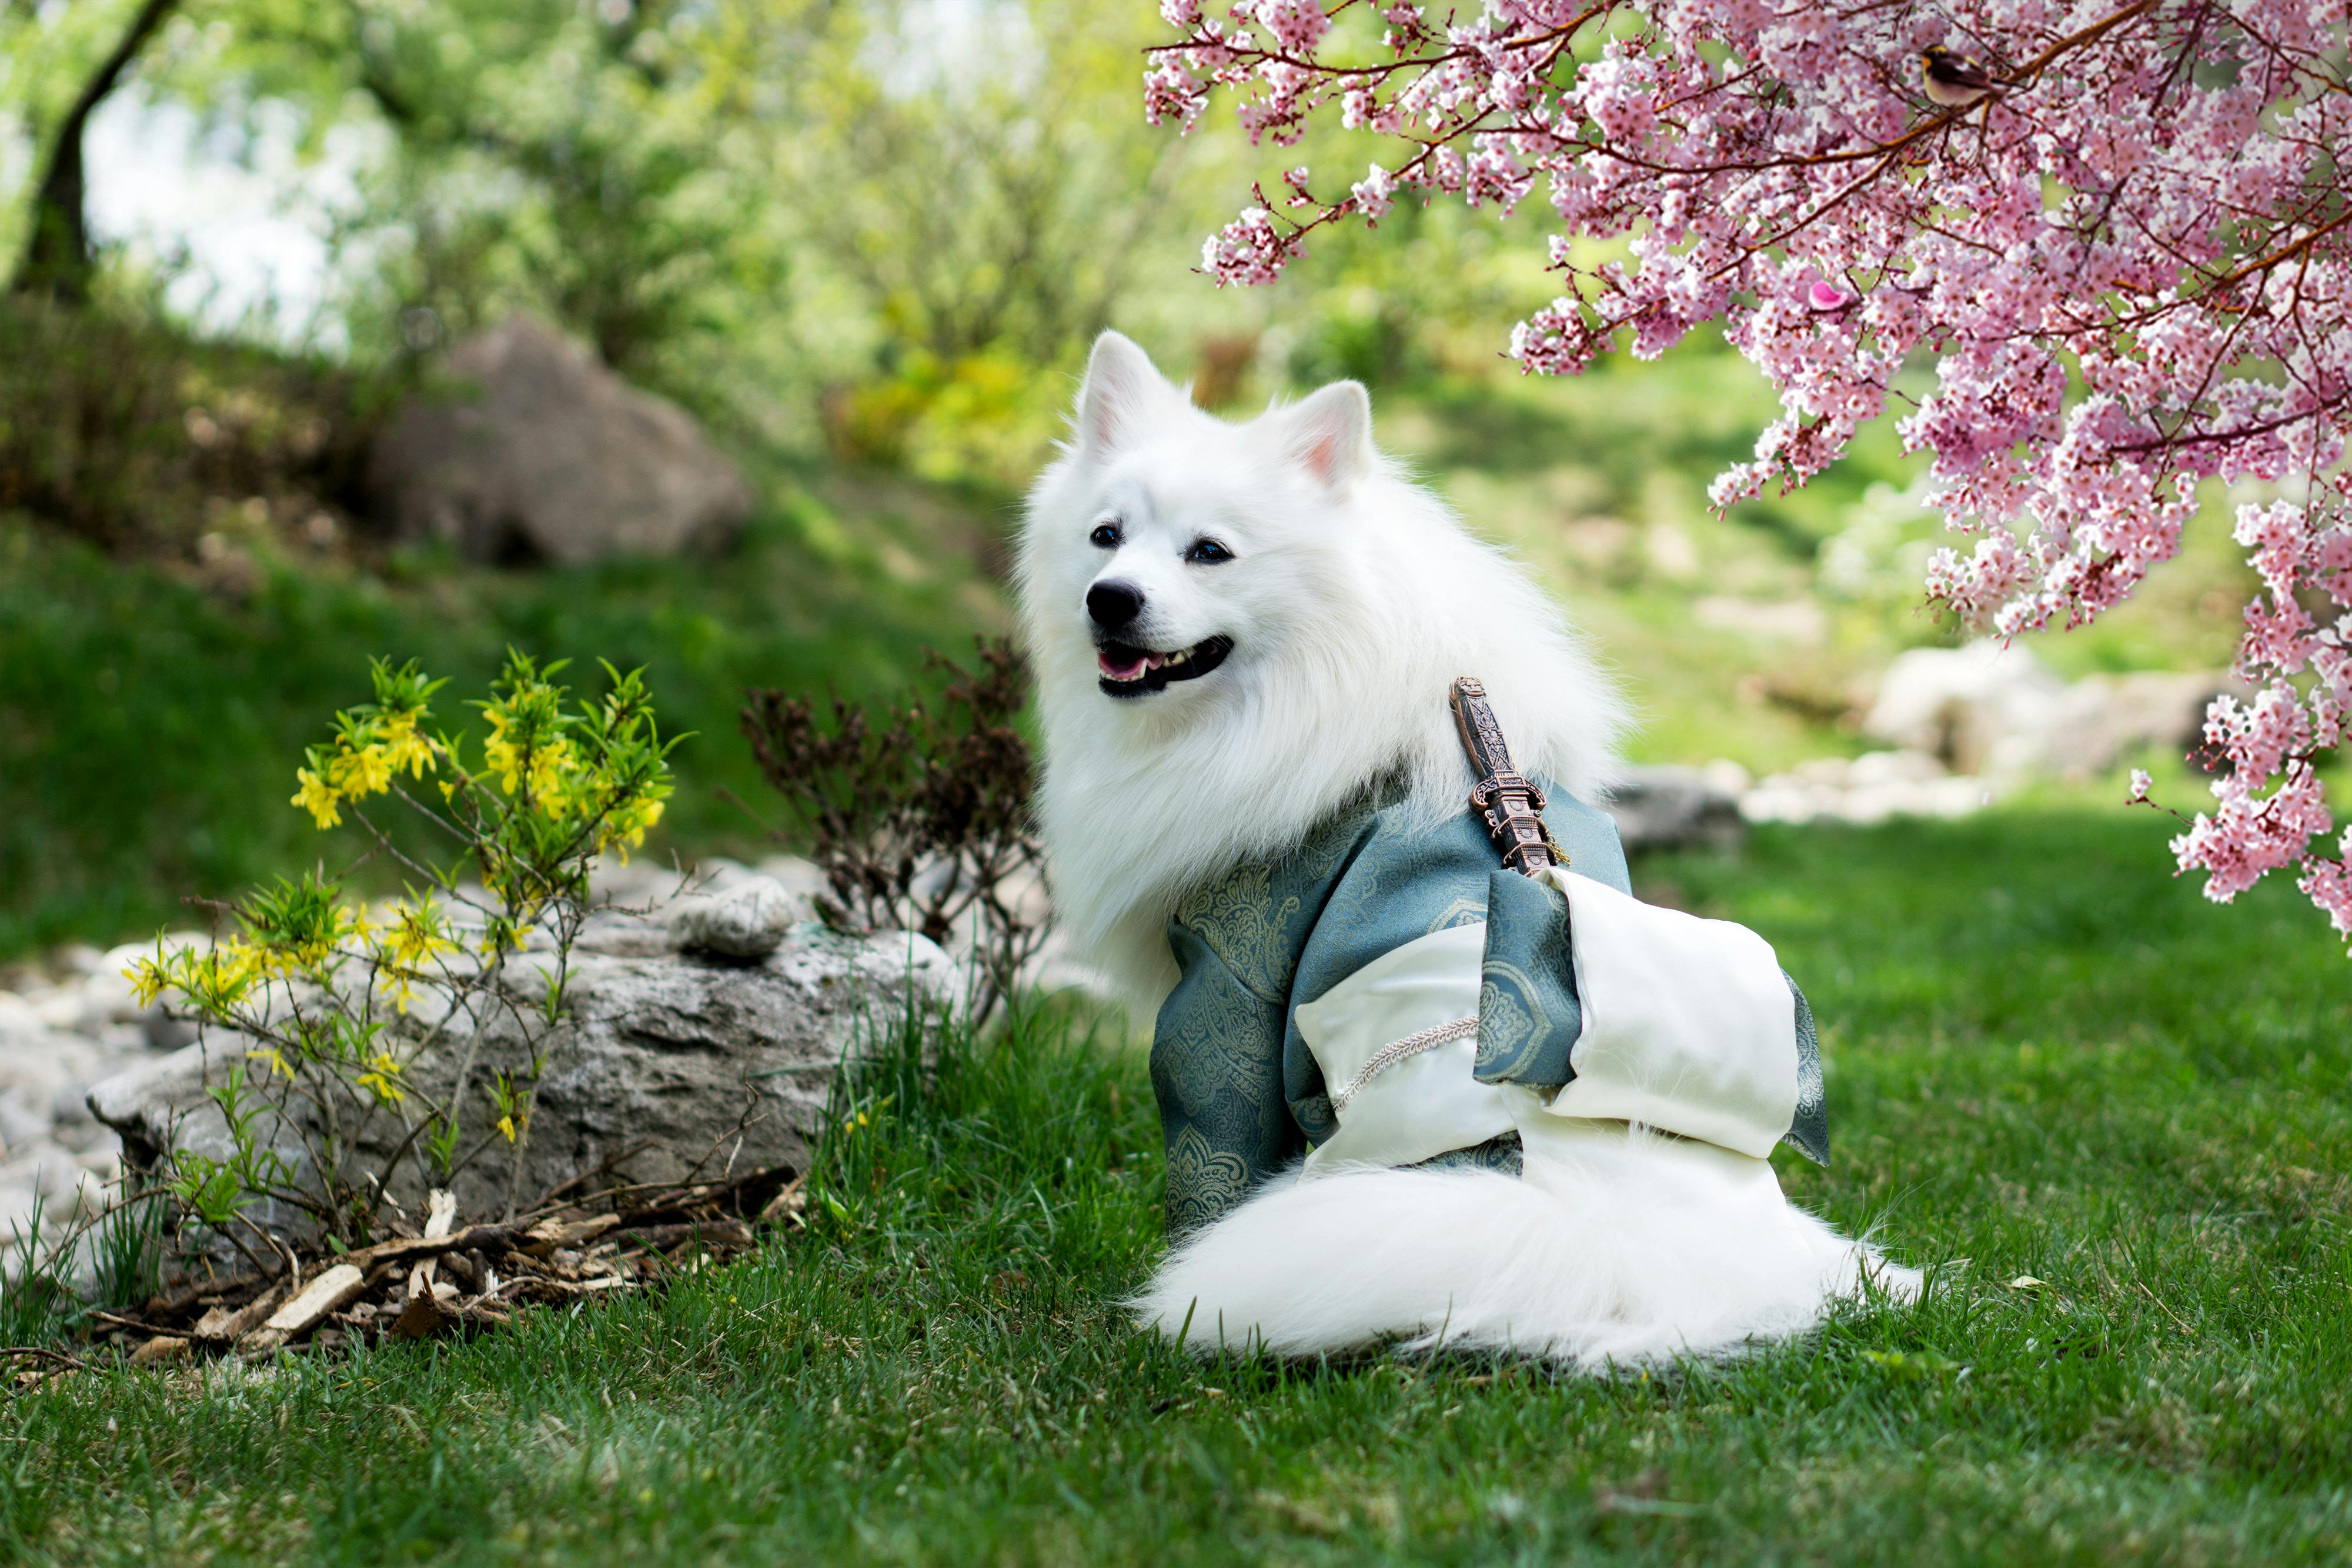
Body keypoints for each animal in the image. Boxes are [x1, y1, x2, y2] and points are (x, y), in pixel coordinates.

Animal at [1016, 333, 1910, 1373]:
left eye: (1210, 552)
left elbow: (1213, 1152)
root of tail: (1600, 1228)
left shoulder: (1224, 993)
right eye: (1105, 536)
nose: (1110, 599)